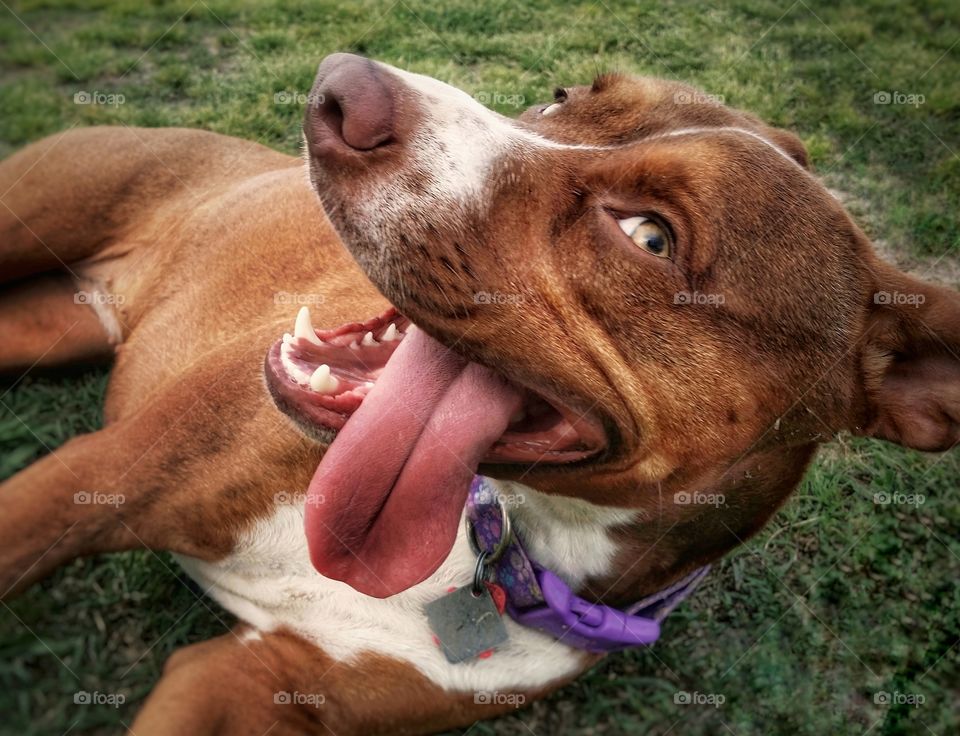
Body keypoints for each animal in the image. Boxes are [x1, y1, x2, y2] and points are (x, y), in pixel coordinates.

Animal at [0, 53, 956, 736]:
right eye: (562, 93)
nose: (341, 88)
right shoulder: (94, 480)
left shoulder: (253, 682)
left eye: (650, 235)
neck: (494, 534)